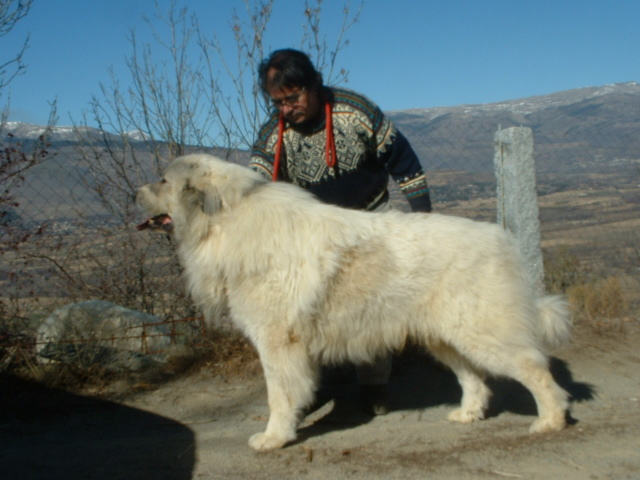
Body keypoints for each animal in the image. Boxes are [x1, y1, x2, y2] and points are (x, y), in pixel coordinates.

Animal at [135, 153, 568, 450]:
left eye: (162, 180)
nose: (134, 192)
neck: (225, 221)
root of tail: (501, 237)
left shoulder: (276, 343)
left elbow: (279, 395)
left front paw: (274, 438)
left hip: (484, 335)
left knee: (537, 371)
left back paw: (551, 421)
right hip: (445, 337)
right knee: (473, 377)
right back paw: (468, 414)